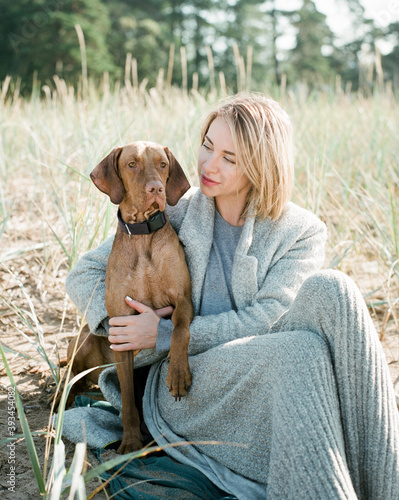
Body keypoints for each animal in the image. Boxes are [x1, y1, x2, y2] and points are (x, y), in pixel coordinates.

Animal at [68, 143, 194, 456]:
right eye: (132, 164)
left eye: (163, 164)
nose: (156, 188)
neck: (143, 237)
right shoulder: (122, 326)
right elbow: (126, 399)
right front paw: (130, 443)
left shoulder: (183, 300)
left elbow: (179, 330)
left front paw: (177, 373)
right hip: (85, 341)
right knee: (70, 378)